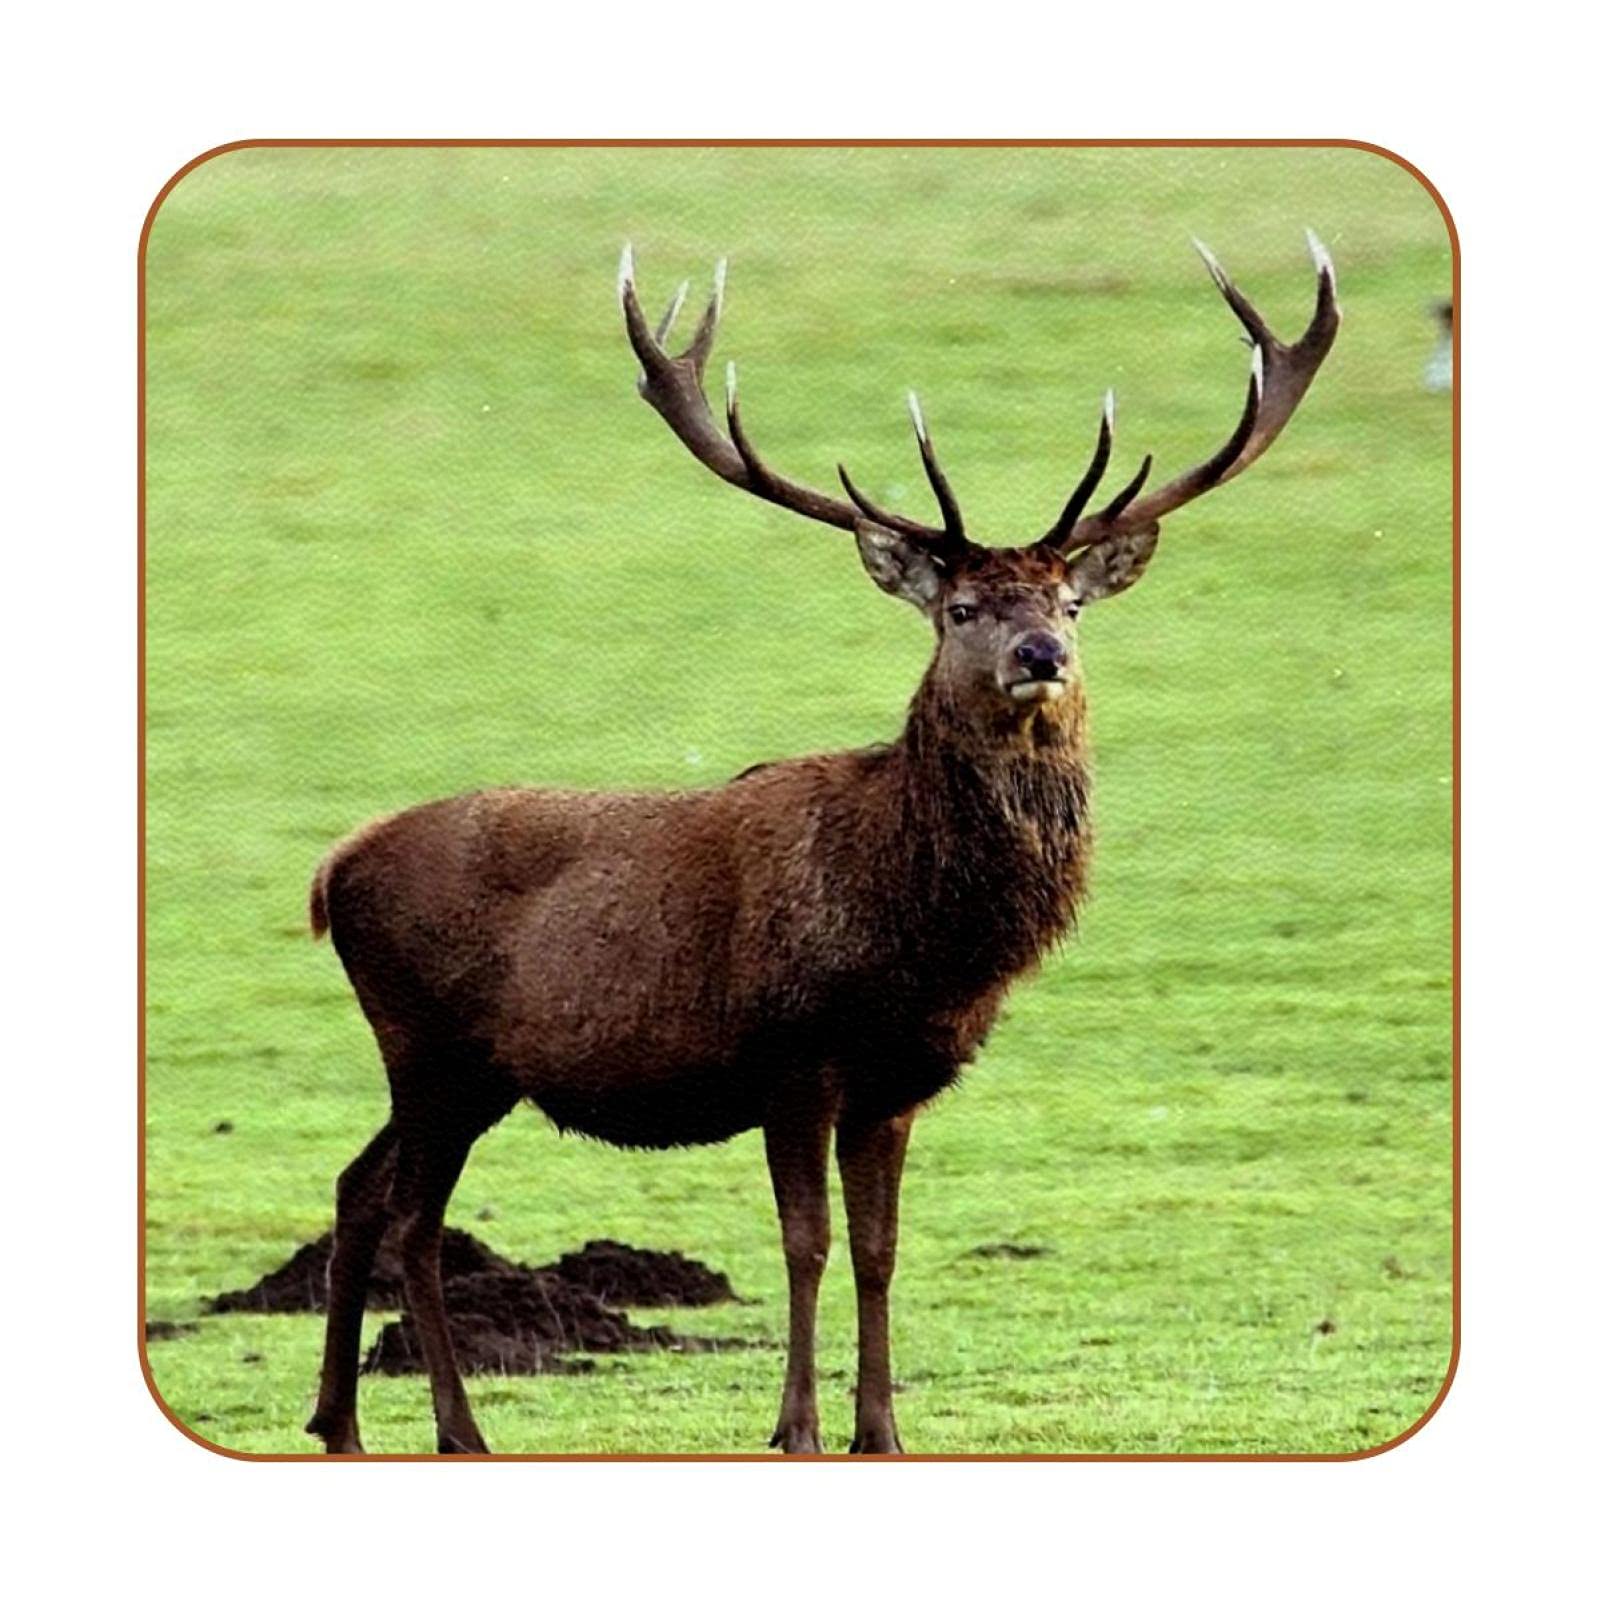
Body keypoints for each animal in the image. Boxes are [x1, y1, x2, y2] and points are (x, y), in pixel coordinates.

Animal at [303, 232, 1339, 1455]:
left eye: (1069, 604)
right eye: (960, 609)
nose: (1039, 655)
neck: (916, 942)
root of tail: (333, 868)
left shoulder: (897, 1081)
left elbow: (881, 1250)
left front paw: (879, 1426)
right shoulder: (792, 1055)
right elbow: (807, 1243)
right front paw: (794, 1426)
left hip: (456, 1066)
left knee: (359, 1184)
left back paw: (338, 1419)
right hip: (429, 1043)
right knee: (413, 1214)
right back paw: (456, 1428)